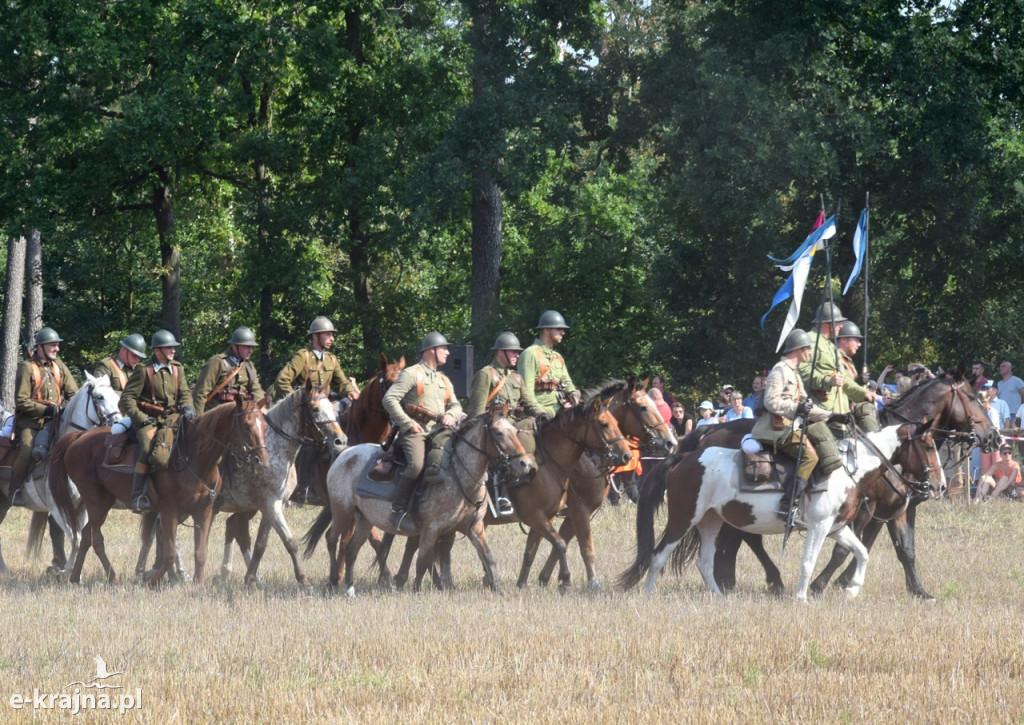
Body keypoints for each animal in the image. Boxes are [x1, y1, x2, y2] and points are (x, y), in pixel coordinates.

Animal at [0, 370, 123, 573]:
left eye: (116, 397)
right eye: (99, 396)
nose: (118, 422)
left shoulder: (83, 507)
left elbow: (82, 537)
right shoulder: (57, 508)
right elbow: (75, 537)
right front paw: (66, 570)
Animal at [50, 397, 268, 589]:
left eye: (265, 427)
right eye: (246, 426)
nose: (262, 461)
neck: (194, 458)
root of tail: (79, 438)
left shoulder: (203, 512)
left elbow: (200, 552)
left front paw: (198, 585)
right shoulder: (168, 512)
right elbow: (169, 553)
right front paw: (151, 580)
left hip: (102, 503)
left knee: (87, 537)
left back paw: (76, 577)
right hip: (97, 501)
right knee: (96, 539)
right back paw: (113, 578)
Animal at [299, 405, 536, 593]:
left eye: (514, 431)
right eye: (498, 433)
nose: (524, 464)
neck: (458, 474)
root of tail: (344, 455)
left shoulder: (474, 527)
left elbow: (488, 557)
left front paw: (498, 589)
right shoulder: (431, 529)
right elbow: (423, 561)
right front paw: (417, 589)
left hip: (364, 520)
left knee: (351, 549)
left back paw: (349, 587)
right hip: (342, 512)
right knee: (332, 539)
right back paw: (333, 581)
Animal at [614, 419, 942, 602]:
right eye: (928, 446)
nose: (938, 485)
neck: (847, 469)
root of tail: (685, 457)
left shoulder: (838, 528)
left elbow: (861, 552)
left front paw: (851, 591)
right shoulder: (820, 526)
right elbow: (809, 562)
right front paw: (802, 598)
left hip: (710, 521)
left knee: (705, 561)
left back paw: (719, 597)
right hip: (684, 517)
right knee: (659, 554)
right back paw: (648, 595)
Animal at [712, 370, 999, 598]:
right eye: (971, 398)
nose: (993, 437)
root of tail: (711, 431)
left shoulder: (896, 510)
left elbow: (902, 549)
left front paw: (918, 590)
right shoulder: (867, 510)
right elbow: (844, 550)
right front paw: (822, 584)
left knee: (738, 536)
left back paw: (729, 579)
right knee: (745, 537)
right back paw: (764, 580)